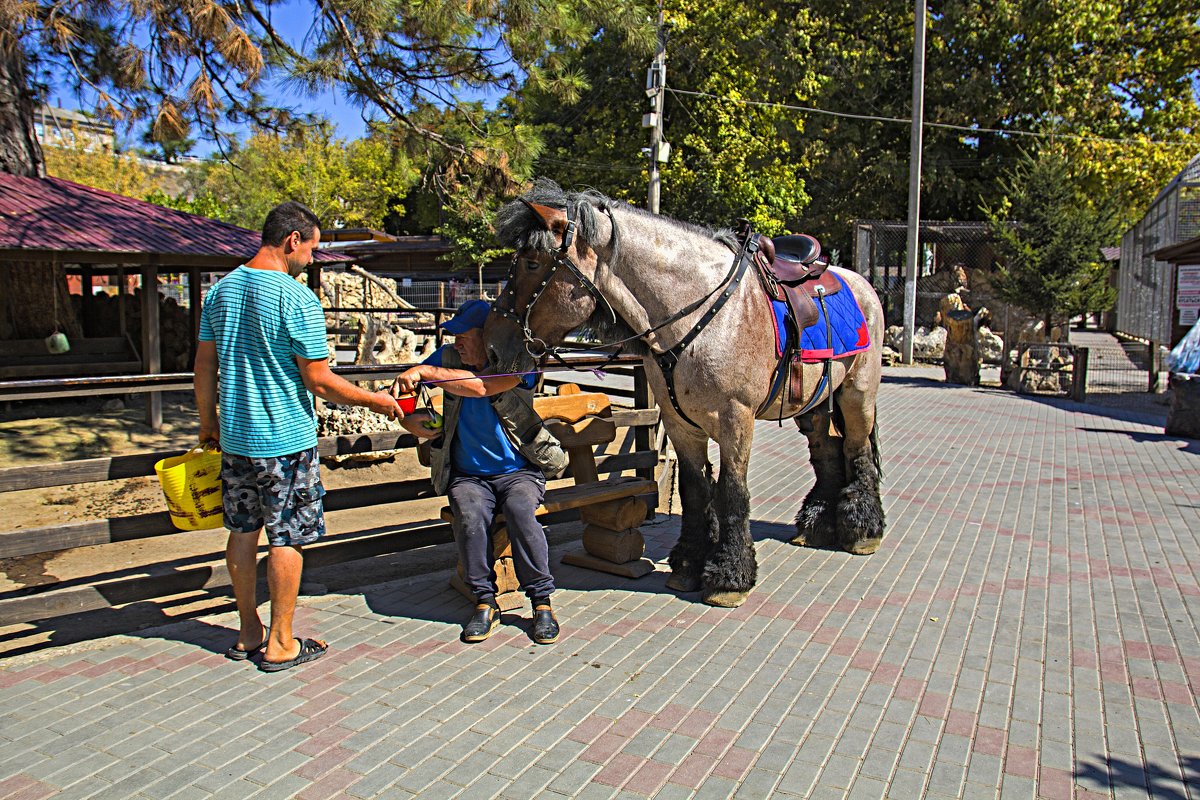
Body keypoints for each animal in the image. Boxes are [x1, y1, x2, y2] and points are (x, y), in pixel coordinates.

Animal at [482, 179, 888, 606]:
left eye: (531, 263)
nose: (491, 346)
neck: (700, 314)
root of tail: (859, 282)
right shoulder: (679, 424)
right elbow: (695, 491)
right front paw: (690, 564)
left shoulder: (735, 421)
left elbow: (732, 492)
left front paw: (729, 575)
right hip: (815, 402)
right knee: (826, 450)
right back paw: (816, 523)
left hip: (858, 393)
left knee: (857, 449)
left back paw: (863, 529)